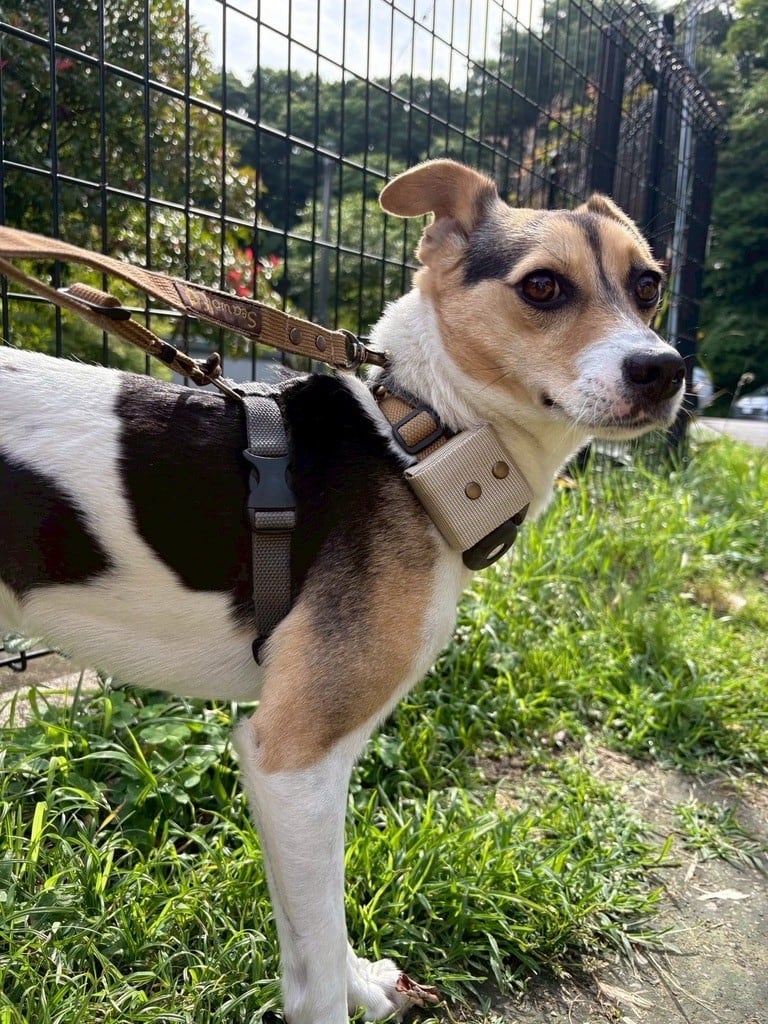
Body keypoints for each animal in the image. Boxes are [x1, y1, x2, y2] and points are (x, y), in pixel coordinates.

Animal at [0, 160, 684, 1023]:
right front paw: (340, 996)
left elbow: (315, 938)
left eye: (648, 284)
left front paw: (363, 983)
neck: (421, 438)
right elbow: (316, 964)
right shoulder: (293, 758)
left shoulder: (309, 767)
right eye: (542, 287)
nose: (664, 370)